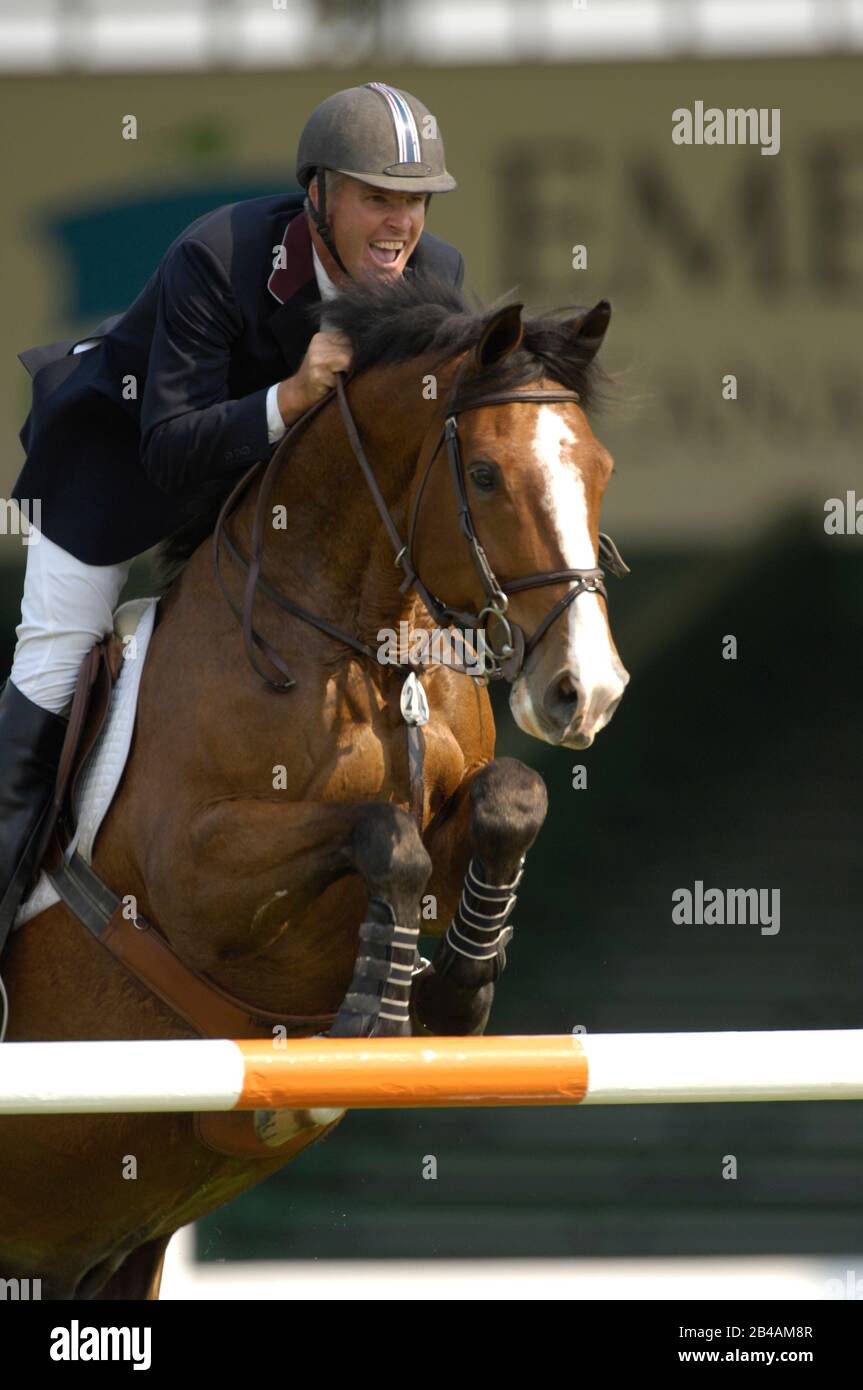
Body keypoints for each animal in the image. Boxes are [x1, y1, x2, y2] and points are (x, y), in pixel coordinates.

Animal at [1, 276, 633, 1295]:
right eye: (485, 476)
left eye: (600, 468)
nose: (587, 692)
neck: (361, 644)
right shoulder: (195, 876)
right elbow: (381, 834)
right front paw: (377, 1002)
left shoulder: (457, 811)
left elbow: (508, 800)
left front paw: (459, 988)